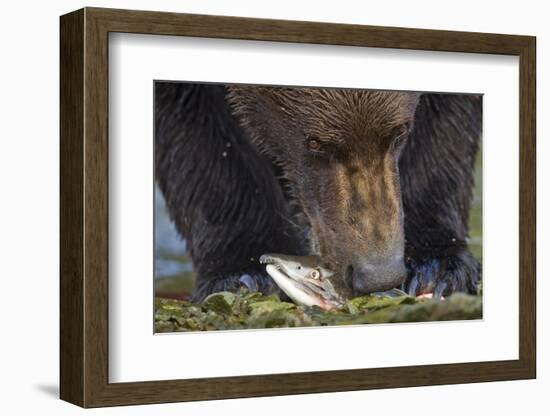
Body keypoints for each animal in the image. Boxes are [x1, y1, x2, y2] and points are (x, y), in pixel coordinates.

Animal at [155, 82, 484, 302]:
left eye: (401, 131)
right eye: (315, 142)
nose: (379, 274)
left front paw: (437, 268)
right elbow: (197, 140)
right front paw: (244, 275)